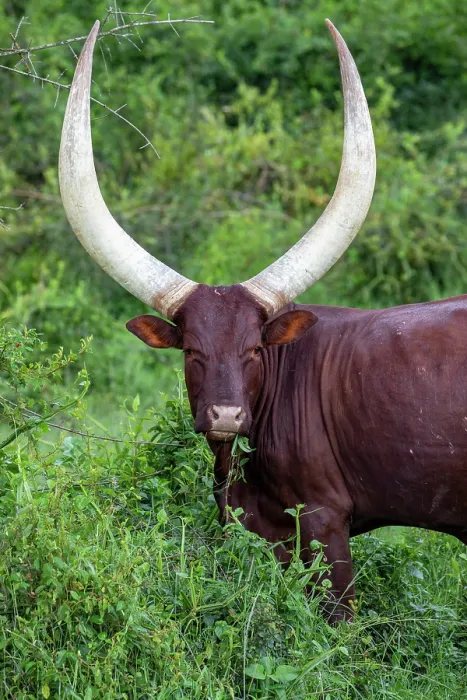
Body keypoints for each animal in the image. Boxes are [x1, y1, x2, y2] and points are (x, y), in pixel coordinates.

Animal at [59, 20, 467, 622]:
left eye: (254, 348)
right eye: (191, 350)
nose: (226, 415)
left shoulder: (323, 520)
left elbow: (338, 622)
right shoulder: (256, 527)